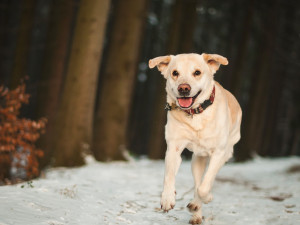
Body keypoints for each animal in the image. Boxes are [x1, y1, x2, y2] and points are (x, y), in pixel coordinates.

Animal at [149, 53, 243, 224]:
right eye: (175, 73)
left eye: (197, 72)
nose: (183, 88)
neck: (196, 114)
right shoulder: (173, 149)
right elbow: (169, 176)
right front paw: (167, 198)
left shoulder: (219, 152)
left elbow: (204, 186)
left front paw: (208, 197)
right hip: (197, 160)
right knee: (198, 181)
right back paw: (196, 211)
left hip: (226, 152)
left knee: (205, 182)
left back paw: (197, 203)